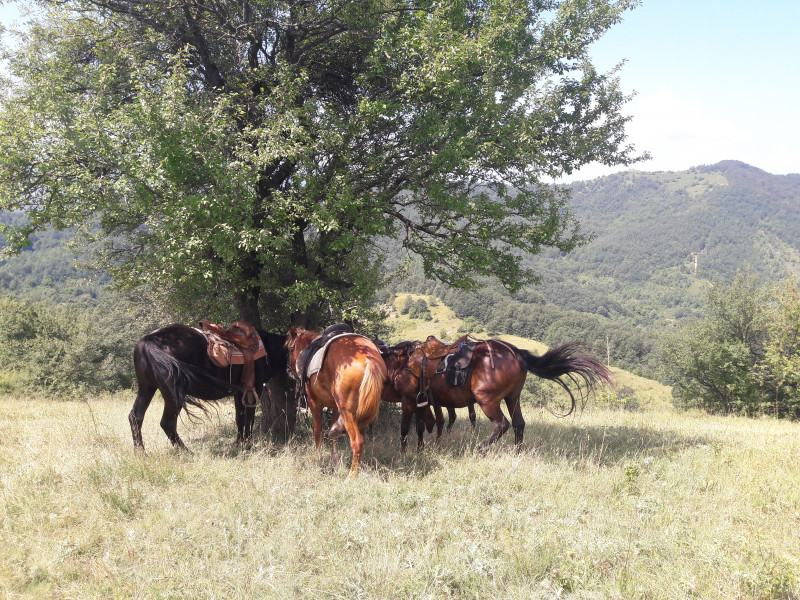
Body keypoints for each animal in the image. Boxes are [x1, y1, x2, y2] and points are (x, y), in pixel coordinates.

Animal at [126, 322, 286, 452]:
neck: (268, 348)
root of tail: (149, 341)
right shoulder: (254, 389)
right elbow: (249, 418)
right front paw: (248, 445)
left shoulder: (239, 392)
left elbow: (239, 417)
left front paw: (239, 443)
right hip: (172, 394)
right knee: (167, 423)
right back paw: (187, 452)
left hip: (146, 388)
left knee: (136, 416)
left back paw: (141, 453)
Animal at [288, 328, 388, 478]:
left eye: (289, 348)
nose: (288, 370)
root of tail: (369, 359)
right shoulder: (335, 406)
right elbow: (332, 435)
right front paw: (334, 459)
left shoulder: (314, 403)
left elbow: (318, 431)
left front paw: (317, 459)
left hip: (347, 412)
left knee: (357, 442)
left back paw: (351, 476)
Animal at [382, 338, 612, 450]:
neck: (402, 363)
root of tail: (516, 353)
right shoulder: (423, 403)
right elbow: (423, 427)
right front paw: (421, 449)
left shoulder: (409, 401)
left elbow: (406, 428)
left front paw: (404, 452)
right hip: (513, 398)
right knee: (519, 424)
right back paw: (517, 453)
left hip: (487, 400)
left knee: (502, 425)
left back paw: (482, 448)